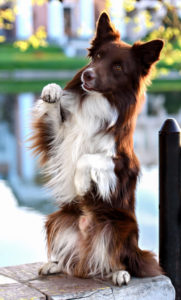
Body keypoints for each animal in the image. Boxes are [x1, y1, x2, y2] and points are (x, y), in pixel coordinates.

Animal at [30, 12, 164, 286]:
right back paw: (55, 265)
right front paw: (52, 91)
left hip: (119, 227)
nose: (87, 75)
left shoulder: (122, 163)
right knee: (73, 259)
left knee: (119, 258)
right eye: (98, 56)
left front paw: (82, 185)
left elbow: (88, 159)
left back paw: (119, 272)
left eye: (118, 67)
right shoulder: (58, 140)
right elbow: (54, 113)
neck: (100, 100)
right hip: (59, 218)